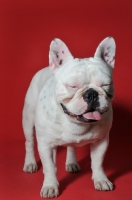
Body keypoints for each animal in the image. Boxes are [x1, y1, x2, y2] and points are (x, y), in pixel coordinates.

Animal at [22, 37, 115, 198]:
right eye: (72, 86)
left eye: (105, 84)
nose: (91, 93)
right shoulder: (44, 143)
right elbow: (49, 167)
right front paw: (50, 186)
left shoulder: (101, 142)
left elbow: (98, 163)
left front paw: (101, 180)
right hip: (28, 121)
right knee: (30, 143)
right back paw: (30, 163)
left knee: (70, 147)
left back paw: (71, 162)